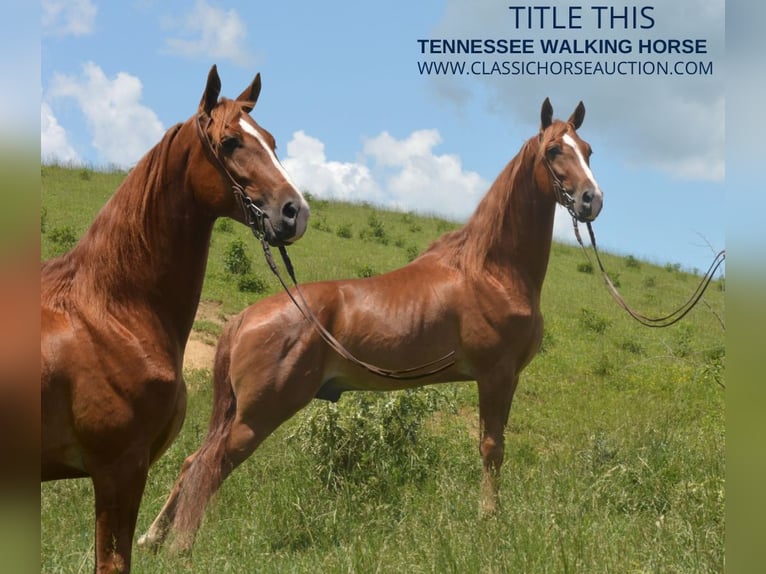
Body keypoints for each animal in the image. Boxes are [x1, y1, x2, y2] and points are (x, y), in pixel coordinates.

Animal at [140, 98, 608, 552]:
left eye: (588, 151)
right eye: (554, 150)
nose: (592, 200)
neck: (490, 270)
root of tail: (243, 319)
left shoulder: (502, 378)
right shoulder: (496, 375)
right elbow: (492, 448)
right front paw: (490, 518)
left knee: (192, 461)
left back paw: (153, 536)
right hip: (259, 414)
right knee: (210, 464)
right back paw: (181, 545)